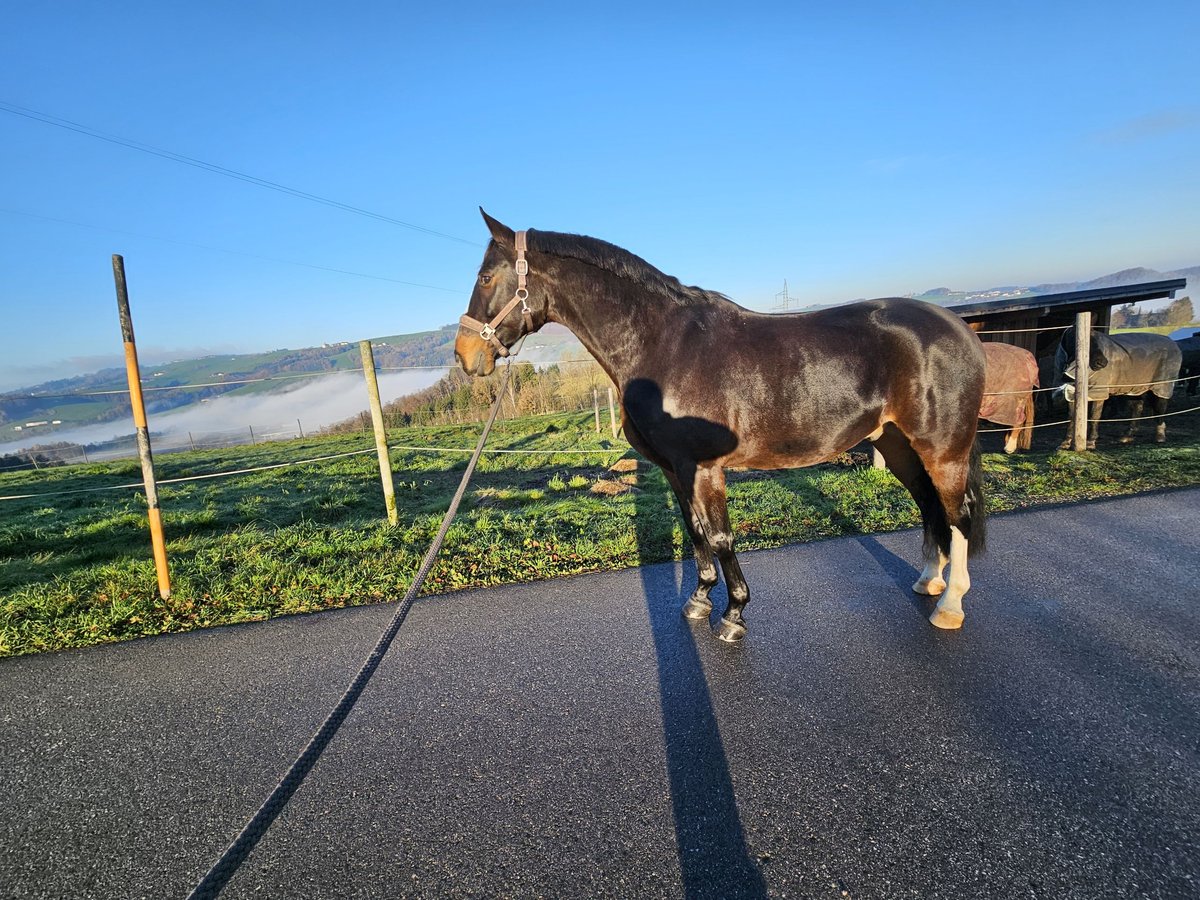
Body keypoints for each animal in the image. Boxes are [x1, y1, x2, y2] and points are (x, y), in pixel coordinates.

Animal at [453, 213, 988, 643]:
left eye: (485, 276)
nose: (464, 355)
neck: (663, 345)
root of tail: (962, 329)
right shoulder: (673, 468)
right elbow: (695, 532)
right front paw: (700, 600)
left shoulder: (704, 466)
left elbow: (721, 536)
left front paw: (734, 615)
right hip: (899, 446)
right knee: (929, 506)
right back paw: (929, 580)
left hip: (943, 449)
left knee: (957, 514)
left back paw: (950, 605)